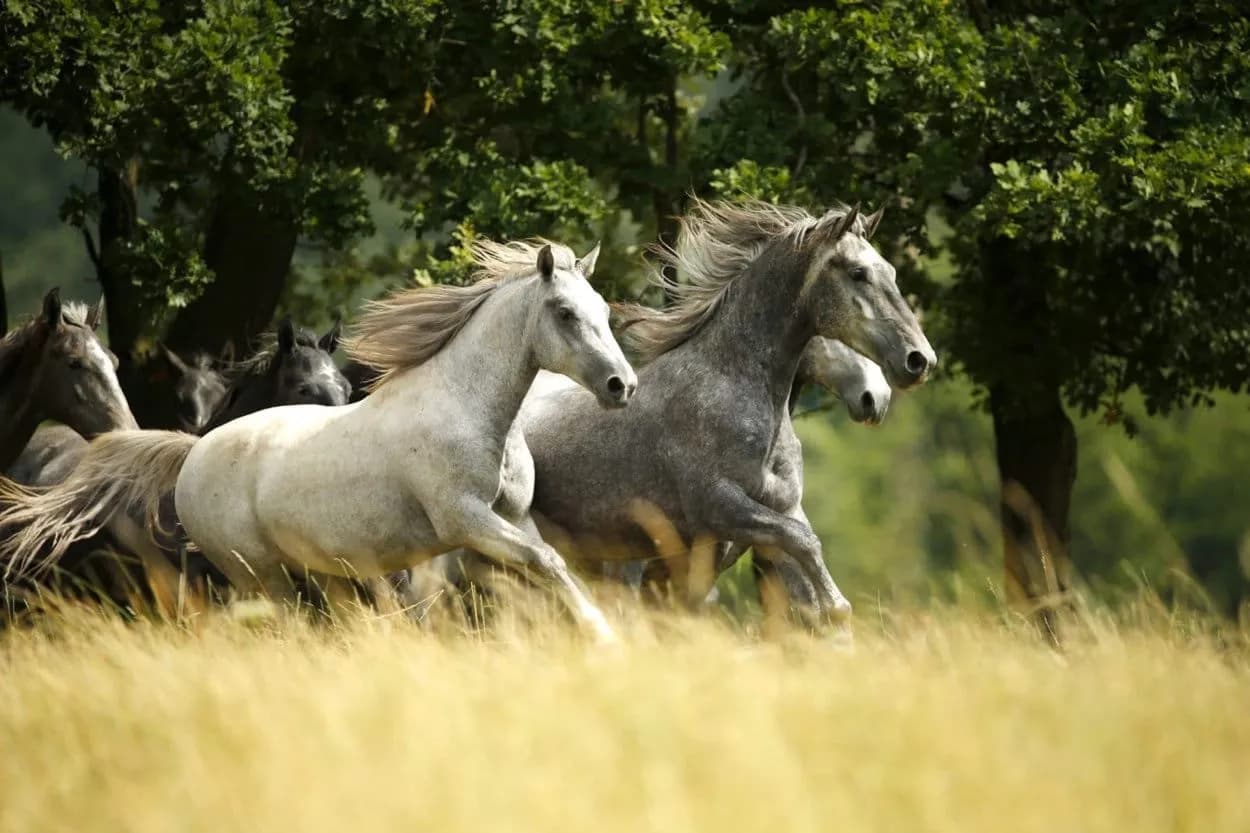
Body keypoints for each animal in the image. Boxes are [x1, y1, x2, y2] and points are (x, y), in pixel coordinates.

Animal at [511, 198, 934, 631]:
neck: (731, 385)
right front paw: (835, 609)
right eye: (858, 273)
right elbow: (805, 545)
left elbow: (802, 575)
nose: (919, 360)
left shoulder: (778, 511)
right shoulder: (720, 507)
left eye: (891, 271)